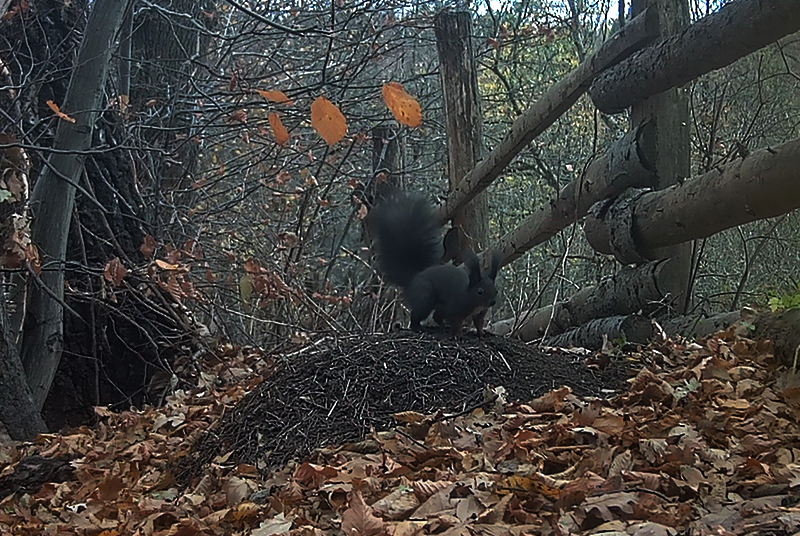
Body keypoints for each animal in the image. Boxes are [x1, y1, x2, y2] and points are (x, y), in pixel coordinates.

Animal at [368, 193, 500, 336]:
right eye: (480, 291)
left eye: (496, 290)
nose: (492, 302)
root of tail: (413, 278)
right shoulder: (455, 307)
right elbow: (456, 322)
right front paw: (458, 335)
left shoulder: (479, 313)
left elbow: (478, 323)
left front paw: (481, 333)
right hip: (425, 298)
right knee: (418, 315)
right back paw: (418, 327)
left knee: (437, 316)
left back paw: (441, 327)